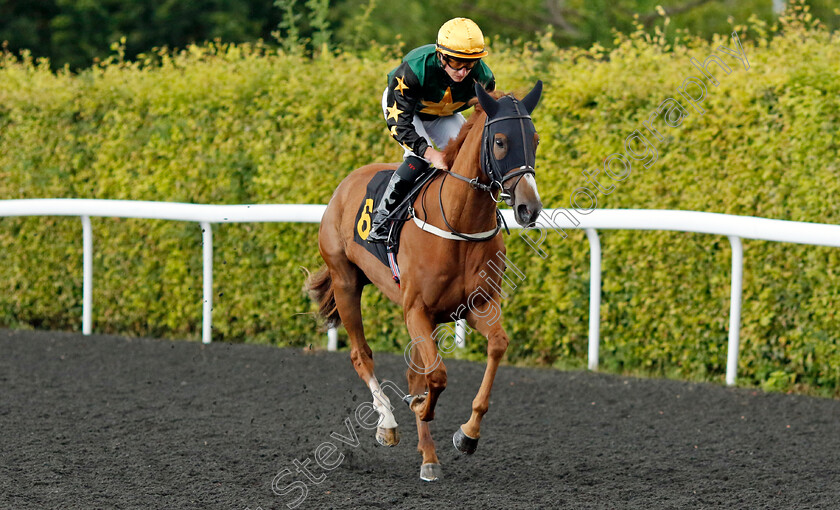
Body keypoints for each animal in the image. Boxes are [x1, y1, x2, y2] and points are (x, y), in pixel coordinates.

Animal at [306, 81, 540, 480]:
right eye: (500, 142)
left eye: (535, 140)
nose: (529, 208)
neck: (460, 223)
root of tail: (346, 183)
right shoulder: (416, 309)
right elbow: (437, 377)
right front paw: (418, 408)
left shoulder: (476, 306)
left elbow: (495, 347)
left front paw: (467, 434)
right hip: (345, 280)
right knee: (361, 354)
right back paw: (388, 424)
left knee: (413, 370)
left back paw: (428, 456)